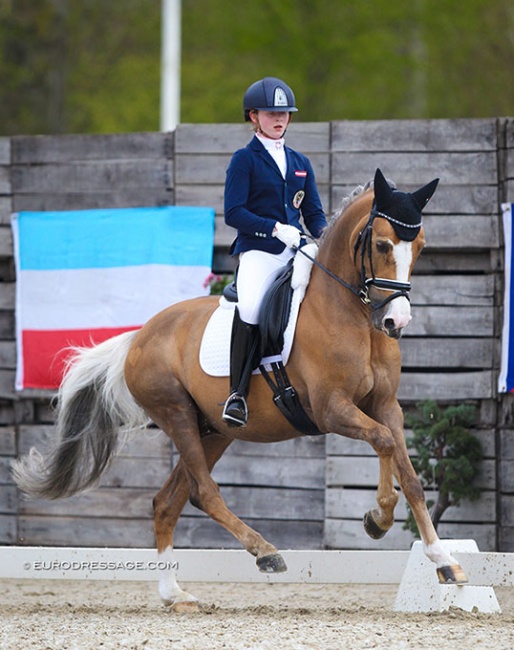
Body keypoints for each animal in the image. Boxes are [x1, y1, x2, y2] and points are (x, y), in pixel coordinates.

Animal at [13, 167, 468, 608]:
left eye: (420, 246)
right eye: (381, 244)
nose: (396, 322)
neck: (352, 315)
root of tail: (139, 335)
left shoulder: (386, 405)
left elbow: (408, 472)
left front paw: (444, 561)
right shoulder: (331, 409)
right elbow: (384, 443)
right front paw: (379, 518)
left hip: (213, 430)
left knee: (168, 502)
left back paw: (175, 594)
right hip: (176, 413)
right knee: (203, 493)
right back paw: (265, 552)